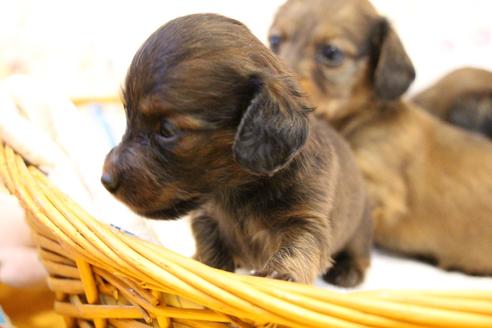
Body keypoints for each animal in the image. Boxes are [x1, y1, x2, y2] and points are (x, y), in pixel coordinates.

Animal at [102, 13, 370, 284]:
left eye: (166, 130)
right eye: (127, 113)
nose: (105, 180)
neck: (238, 190)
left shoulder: (307, 218)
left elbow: (300, 247)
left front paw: (279, 275)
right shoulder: (206, 214)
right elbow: (209, 242)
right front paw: (209, 266)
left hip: (358, 229)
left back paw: (348, 270)